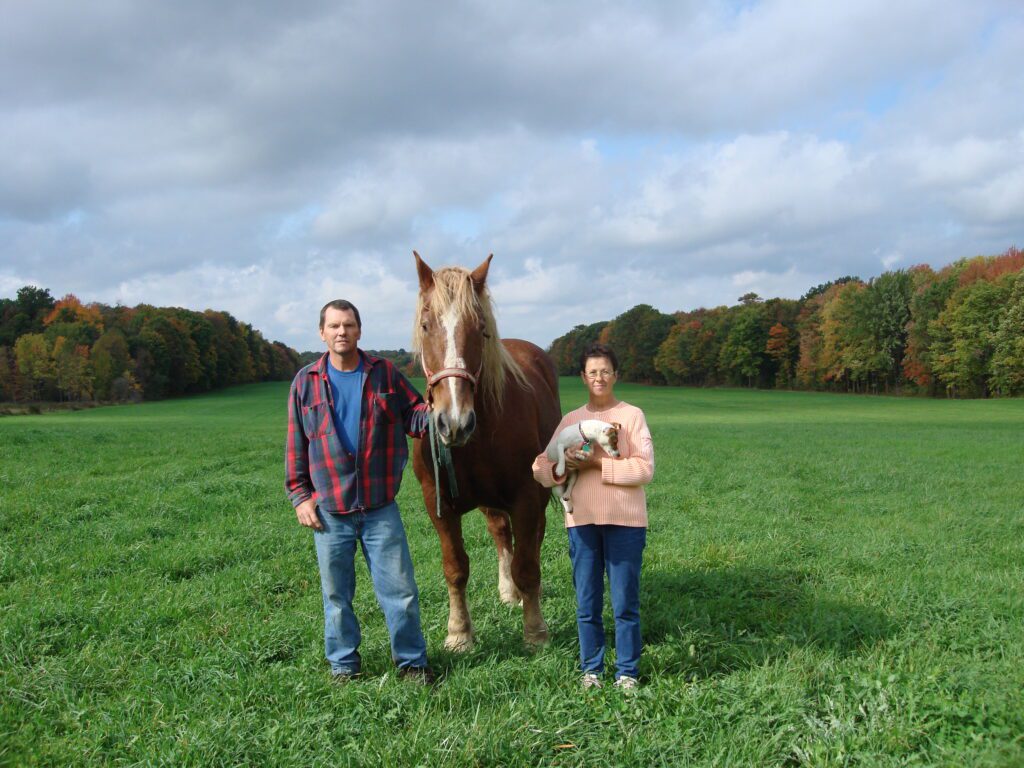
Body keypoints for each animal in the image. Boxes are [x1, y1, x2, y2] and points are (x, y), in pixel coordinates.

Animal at [411, 250, 565, 651]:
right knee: (500, 532)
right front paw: (459, 633)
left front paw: (535, 632)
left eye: (480, 328)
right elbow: (455, 568)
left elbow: (527, 565)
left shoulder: (527, 496)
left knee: (532, 541)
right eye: (425, 325)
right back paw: (508, 592)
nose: (454, 422)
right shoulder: (438, 502)